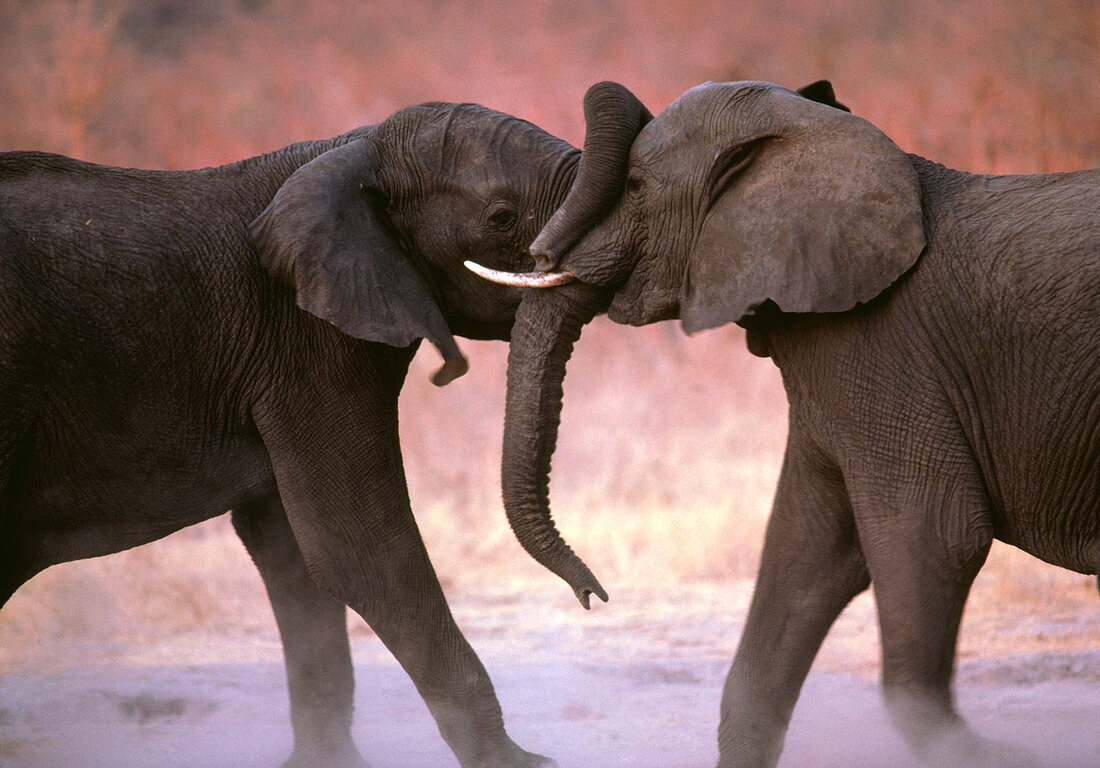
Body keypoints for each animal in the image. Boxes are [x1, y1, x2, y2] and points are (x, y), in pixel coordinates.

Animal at [0, 101, 585, 765]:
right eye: (502, 217)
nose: (592, 595)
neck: (353, 149)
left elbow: (293, 552)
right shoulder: (304, 345)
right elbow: (357, 544)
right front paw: (525, 763)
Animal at [473, 80, 1100, 761]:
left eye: (636, 186)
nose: (595, 595)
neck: (811, 133)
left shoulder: (882, 345)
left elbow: (935, 533)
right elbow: (806, 553)